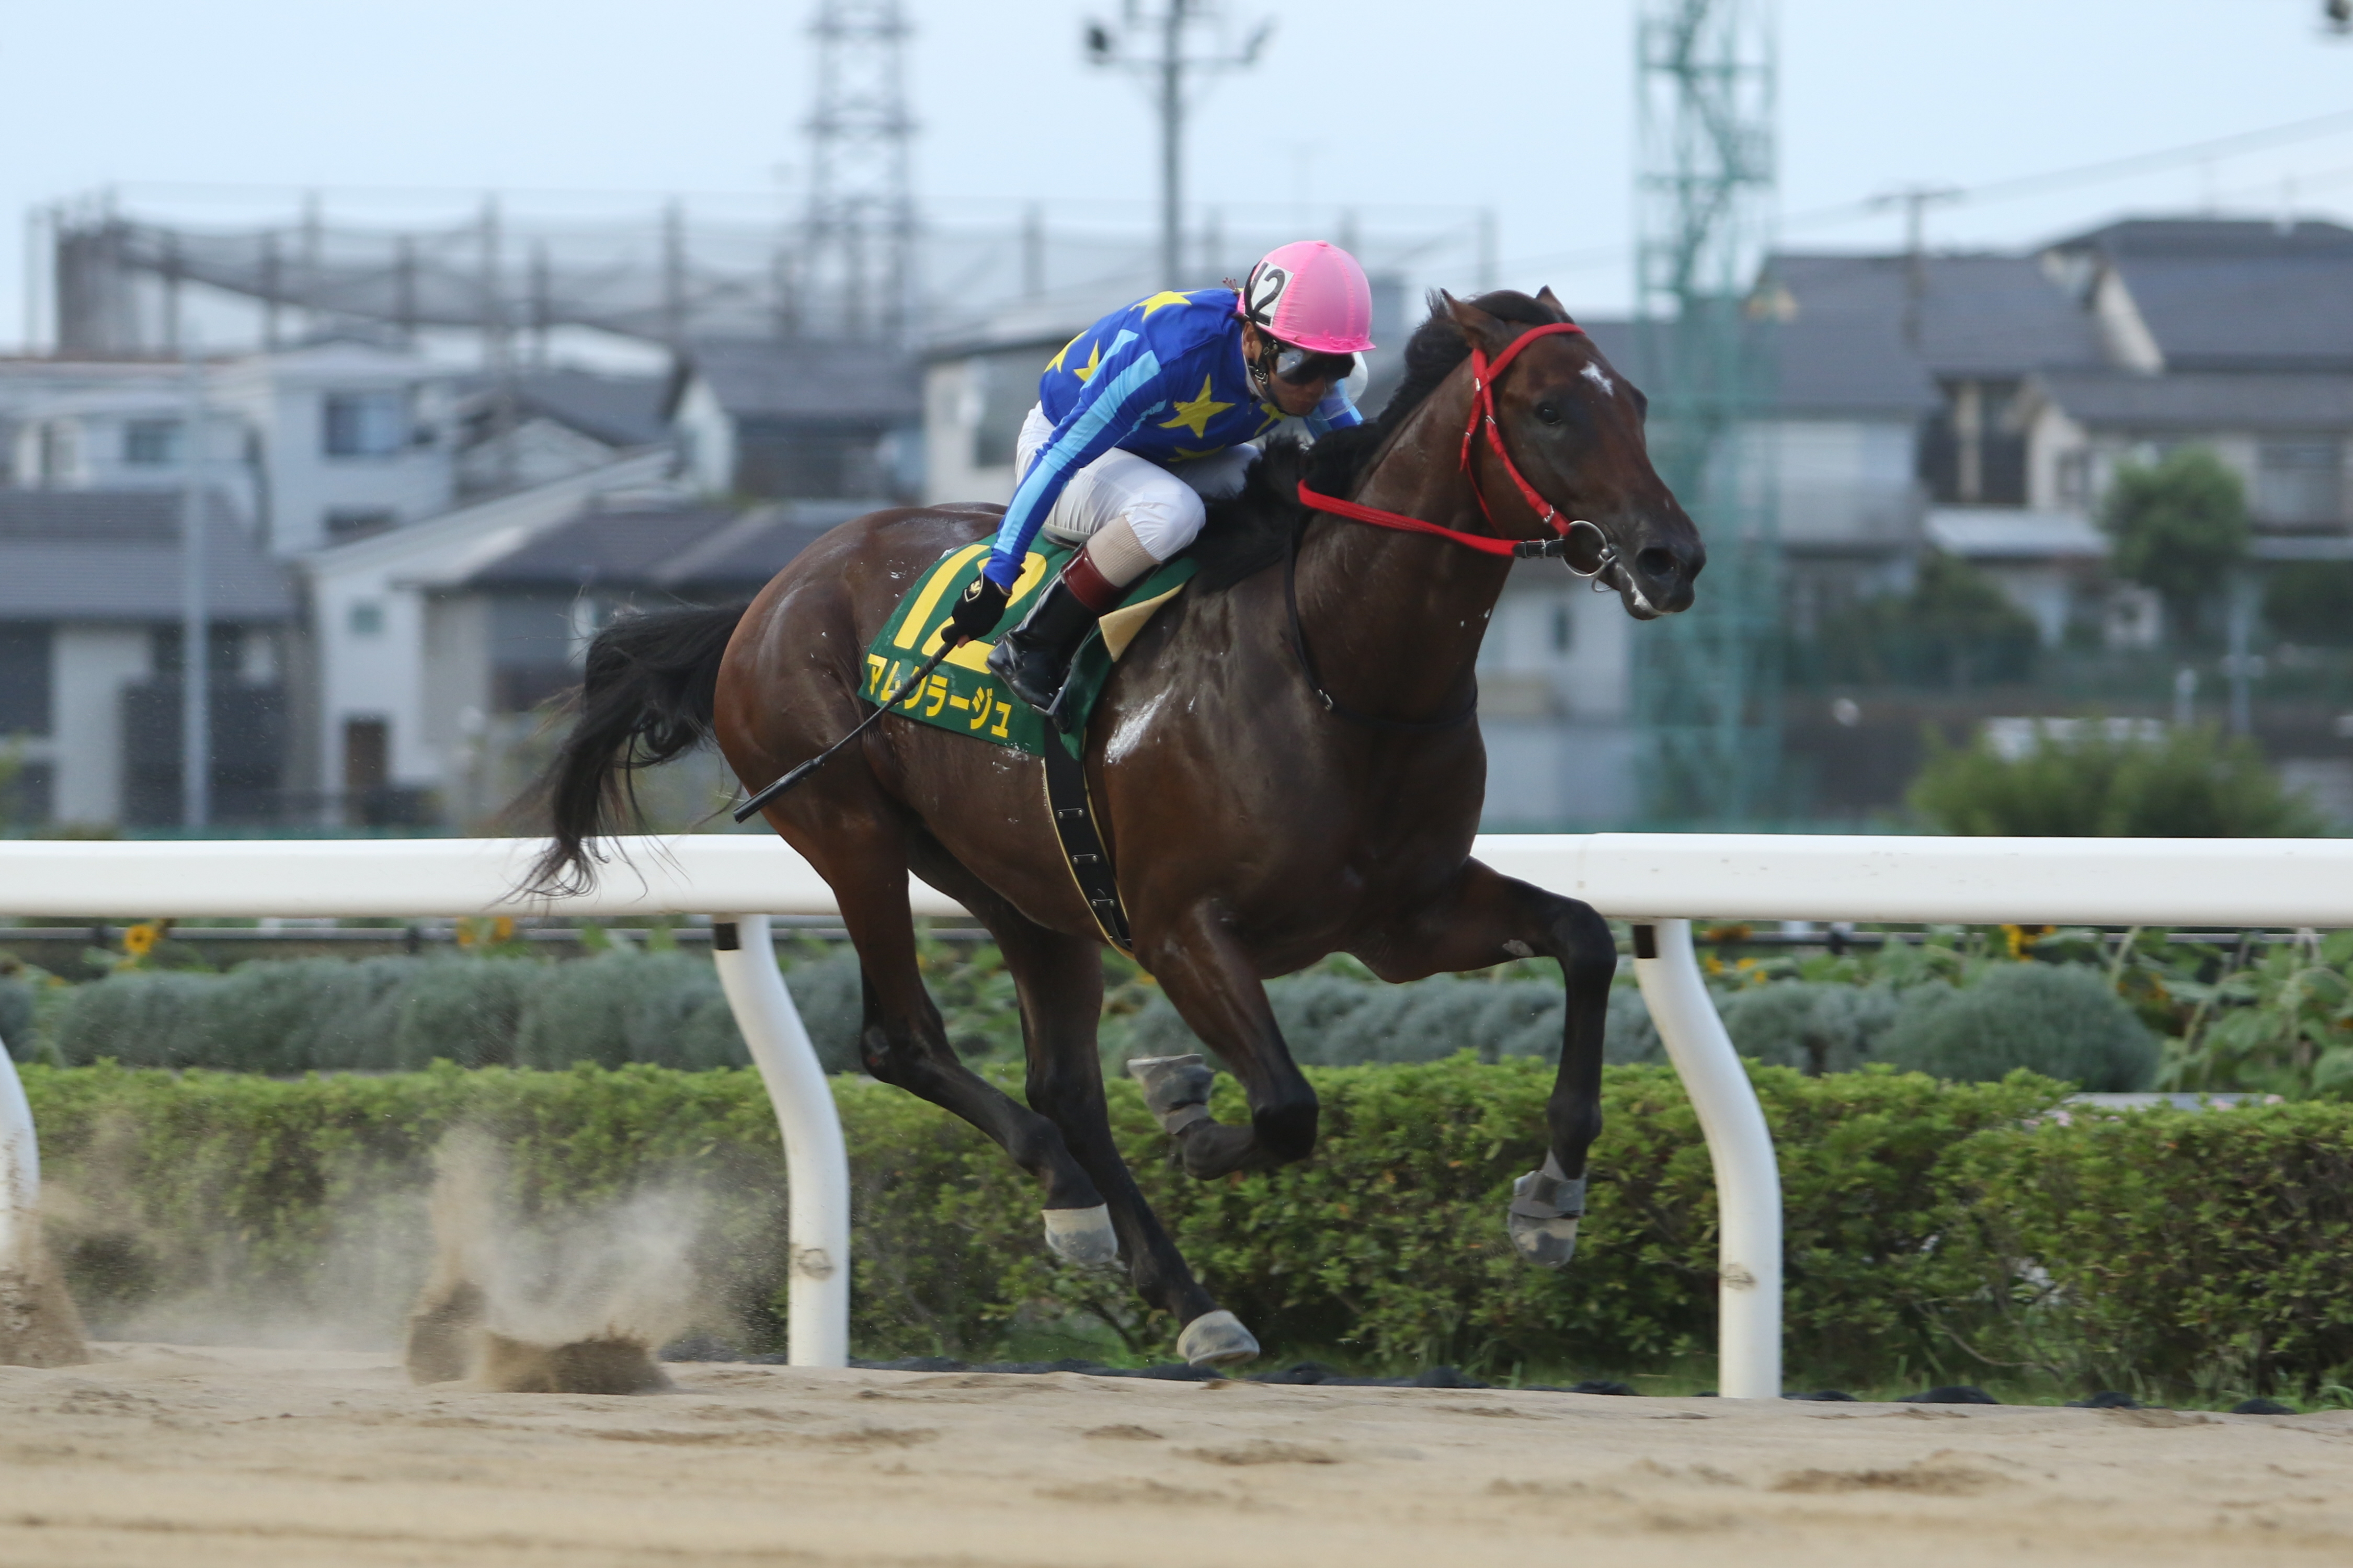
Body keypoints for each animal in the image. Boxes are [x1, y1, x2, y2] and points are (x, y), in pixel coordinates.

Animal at [532, 287, 1704, 1365]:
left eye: (1637, 401)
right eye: (1550, 410)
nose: (1672, 558)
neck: (1338, 665)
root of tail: (770, 594)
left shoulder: (1404, 918)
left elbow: (1587, 941)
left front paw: (1552, 1198)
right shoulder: (1183, 926)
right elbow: (1284, 1106)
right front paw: (1189, 1117)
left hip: (1022, 883)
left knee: (1063, 1080)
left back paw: (1181, 1291)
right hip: (851, 829)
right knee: (905, 1038)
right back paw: (1067, 1186)